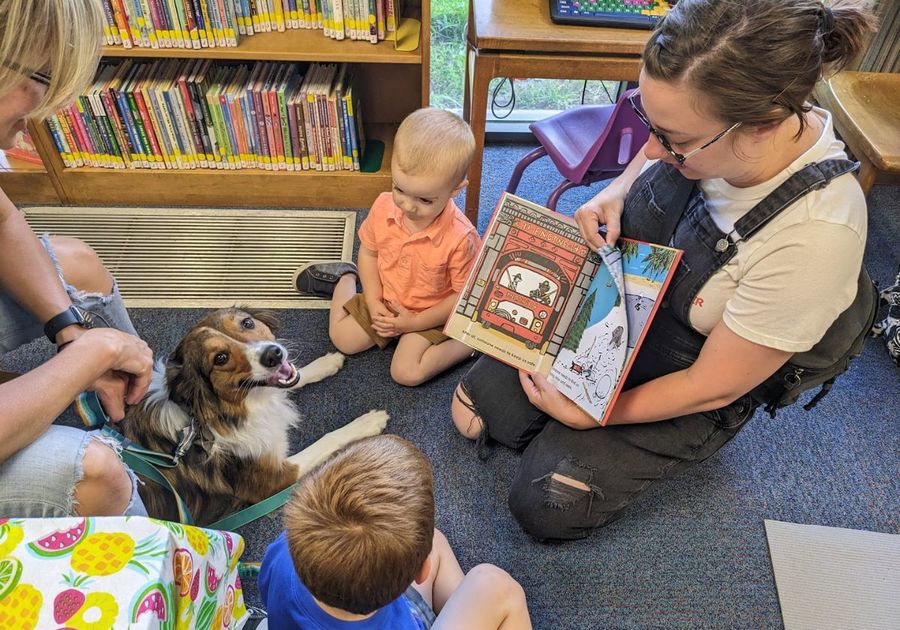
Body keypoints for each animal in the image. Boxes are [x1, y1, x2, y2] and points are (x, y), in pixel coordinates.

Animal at [119, 308, 386, 524]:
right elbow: (328, 440)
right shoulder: (274, 479)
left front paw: (326, 363)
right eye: (220, 358)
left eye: (247, 323)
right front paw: (368, 422)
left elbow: (295, 378)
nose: (274, 354)